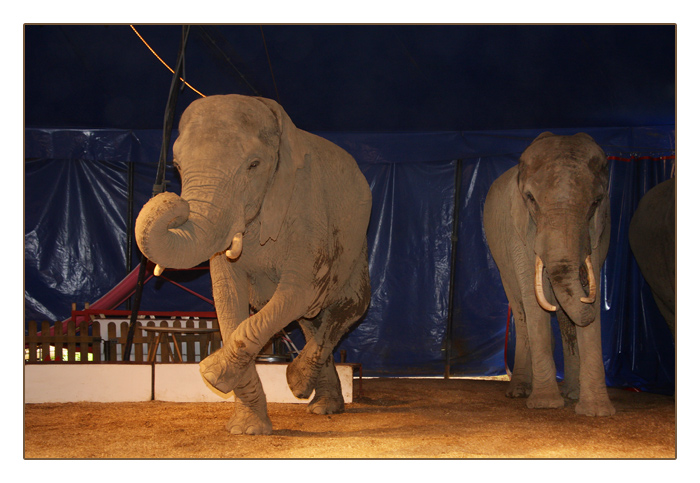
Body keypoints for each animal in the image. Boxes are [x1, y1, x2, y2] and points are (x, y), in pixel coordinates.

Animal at [135, 94, 372, 435]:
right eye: (177, 166)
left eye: (254, 165)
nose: (173, 200)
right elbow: (227, 297)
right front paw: (246, 428)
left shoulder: (308, 207)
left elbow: (297, 291)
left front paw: (209, 374)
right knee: (309, 320)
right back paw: (321, 406)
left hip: (356, 246)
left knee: (346, 308)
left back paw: (299, 386)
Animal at [483, 132, 615, 417]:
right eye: (530, 198)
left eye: (596, 202)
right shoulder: (519, 232)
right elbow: (533, 299)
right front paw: (545, 404)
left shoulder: (600, 231)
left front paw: (596, 412)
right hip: (500, 257)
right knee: (519, 306)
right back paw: (520, 391)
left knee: (564, 319)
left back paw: (572, 393)